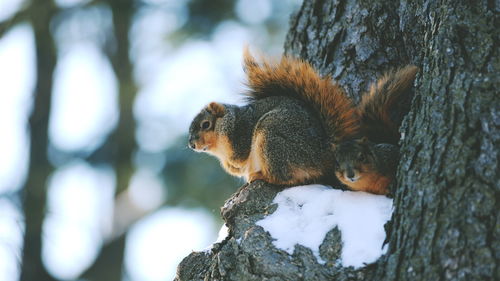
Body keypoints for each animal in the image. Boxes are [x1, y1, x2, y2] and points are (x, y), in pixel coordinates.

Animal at [187, 49, 356, 185]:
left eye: (206, 124)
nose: (191, 145)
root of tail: (325, 153)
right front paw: (230, 167)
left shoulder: (241, 133)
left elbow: (240, 157)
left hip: (272, 137)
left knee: (284, 178)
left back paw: (260, 176)